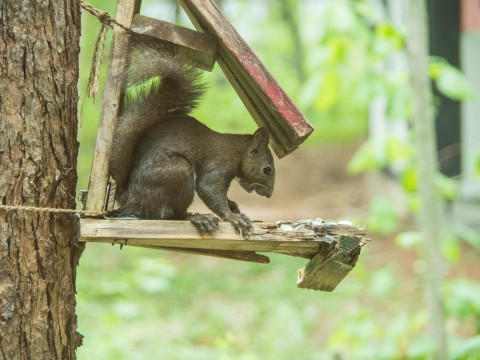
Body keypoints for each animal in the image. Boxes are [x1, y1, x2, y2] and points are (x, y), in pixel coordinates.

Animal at [107, 34, 276, 236]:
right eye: (267, 169)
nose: (269, 194)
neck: (238, 151)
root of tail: (130, 198)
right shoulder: (220, 163)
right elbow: (208, 188)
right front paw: (232, 217)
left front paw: (233, 206)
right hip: (178, 171)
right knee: (171, 215)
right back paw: (197, 217)